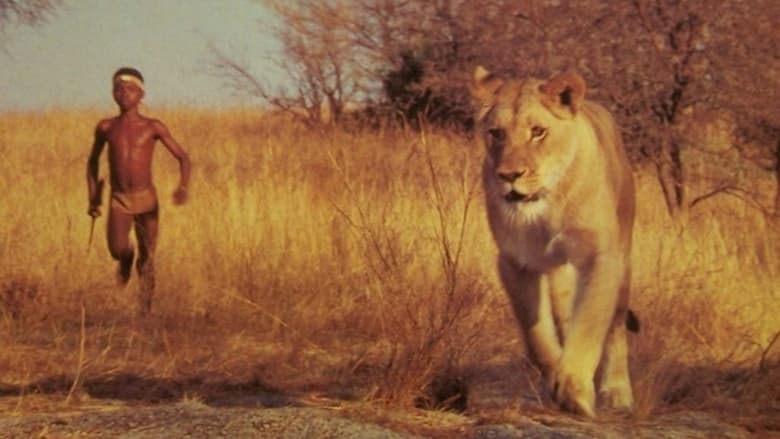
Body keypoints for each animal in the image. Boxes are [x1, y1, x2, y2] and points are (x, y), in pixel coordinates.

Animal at [470, 66, 638, 417]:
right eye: (496, 133)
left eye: (538, 132)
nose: (509, 175)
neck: (546, 207)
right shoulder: (515, 262)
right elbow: (536, 335)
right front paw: (556, 375)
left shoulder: (601, 258)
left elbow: (589, 325)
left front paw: (574, 391)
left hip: (624, 259)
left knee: (616, 327)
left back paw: (617, 392)